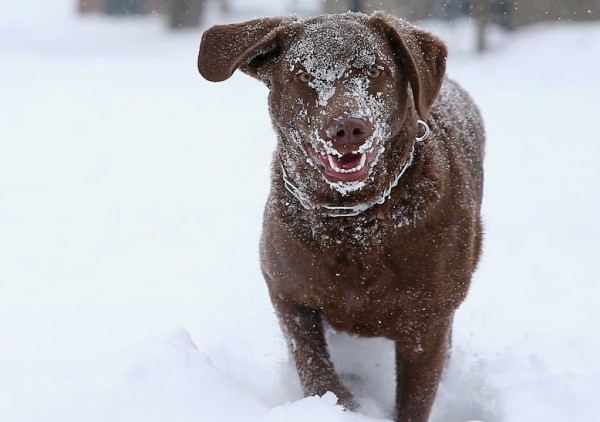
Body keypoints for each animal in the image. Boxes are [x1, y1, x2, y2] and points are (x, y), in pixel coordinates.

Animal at [199, 11, 486, 420]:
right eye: (302, 75)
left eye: (377, 70)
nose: (348, 127)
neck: (354, 222)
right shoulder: (287, 290)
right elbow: (313, 363)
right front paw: (339, 404)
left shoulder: (428, 320)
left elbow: (414, 399)